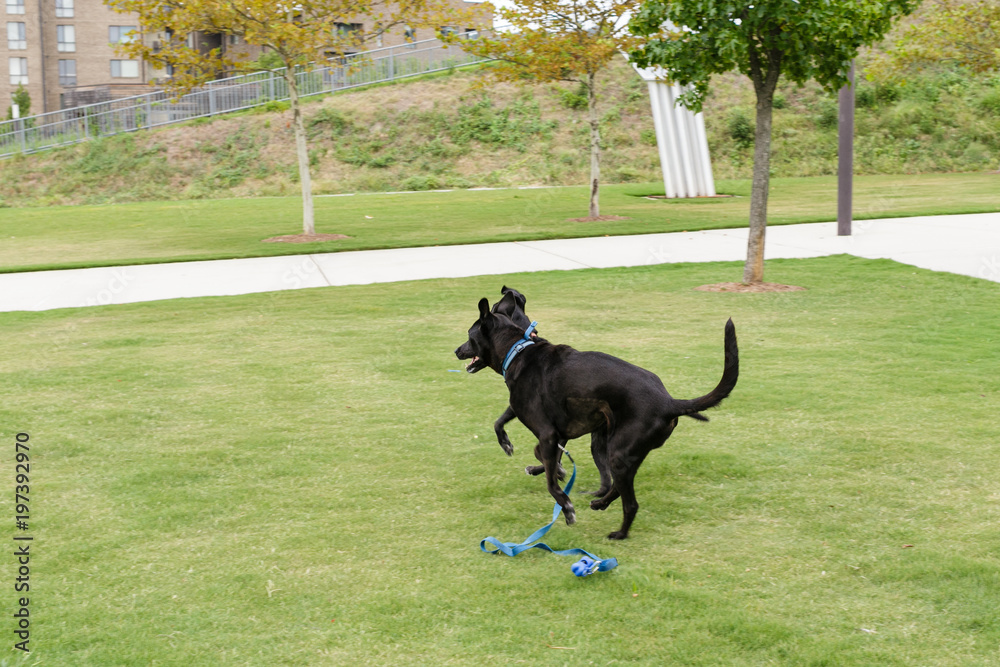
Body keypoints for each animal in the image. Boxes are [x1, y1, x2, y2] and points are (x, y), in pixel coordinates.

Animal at [458, 300, 740, 540]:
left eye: (470, 336)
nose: (456, 350)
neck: (517, 351)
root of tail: (668, 401)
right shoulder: (555, 433)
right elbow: (507, 428)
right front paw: (520, 452)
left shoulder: (548, 434)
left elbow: (549, 478)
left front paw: (566, 506)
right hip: (622, 452)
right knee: (616, 486)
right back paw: (600, 503)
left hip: (618, 453)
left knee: (630, 502)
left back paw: (620, 533)